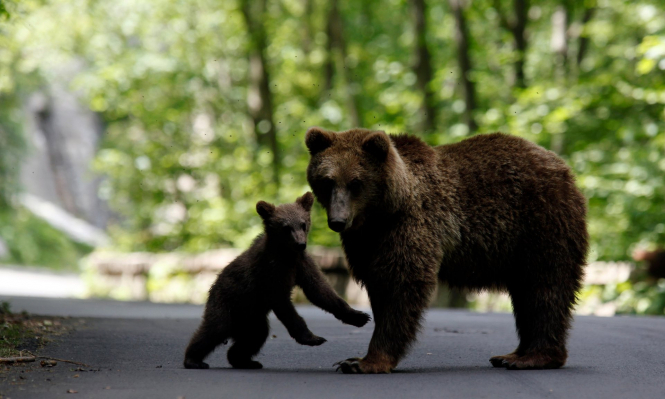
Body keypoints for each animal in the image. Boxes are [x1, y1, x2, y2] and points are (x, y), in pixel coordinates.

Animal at [306, 129, 588, 376]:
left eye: (356, 182)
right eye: (327, 181)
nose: (338, 221)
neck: (382, 214)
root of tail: (562, 166)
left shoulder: (412, 225)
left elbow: (402, 284)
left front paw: (364, 362)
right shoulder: (365, 243)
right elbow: (378, 284)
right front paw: (356, 357)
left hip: (540, 224)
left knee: (544, 287)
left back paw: (534, 356)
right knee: (526, 294)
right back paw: (511, 355)